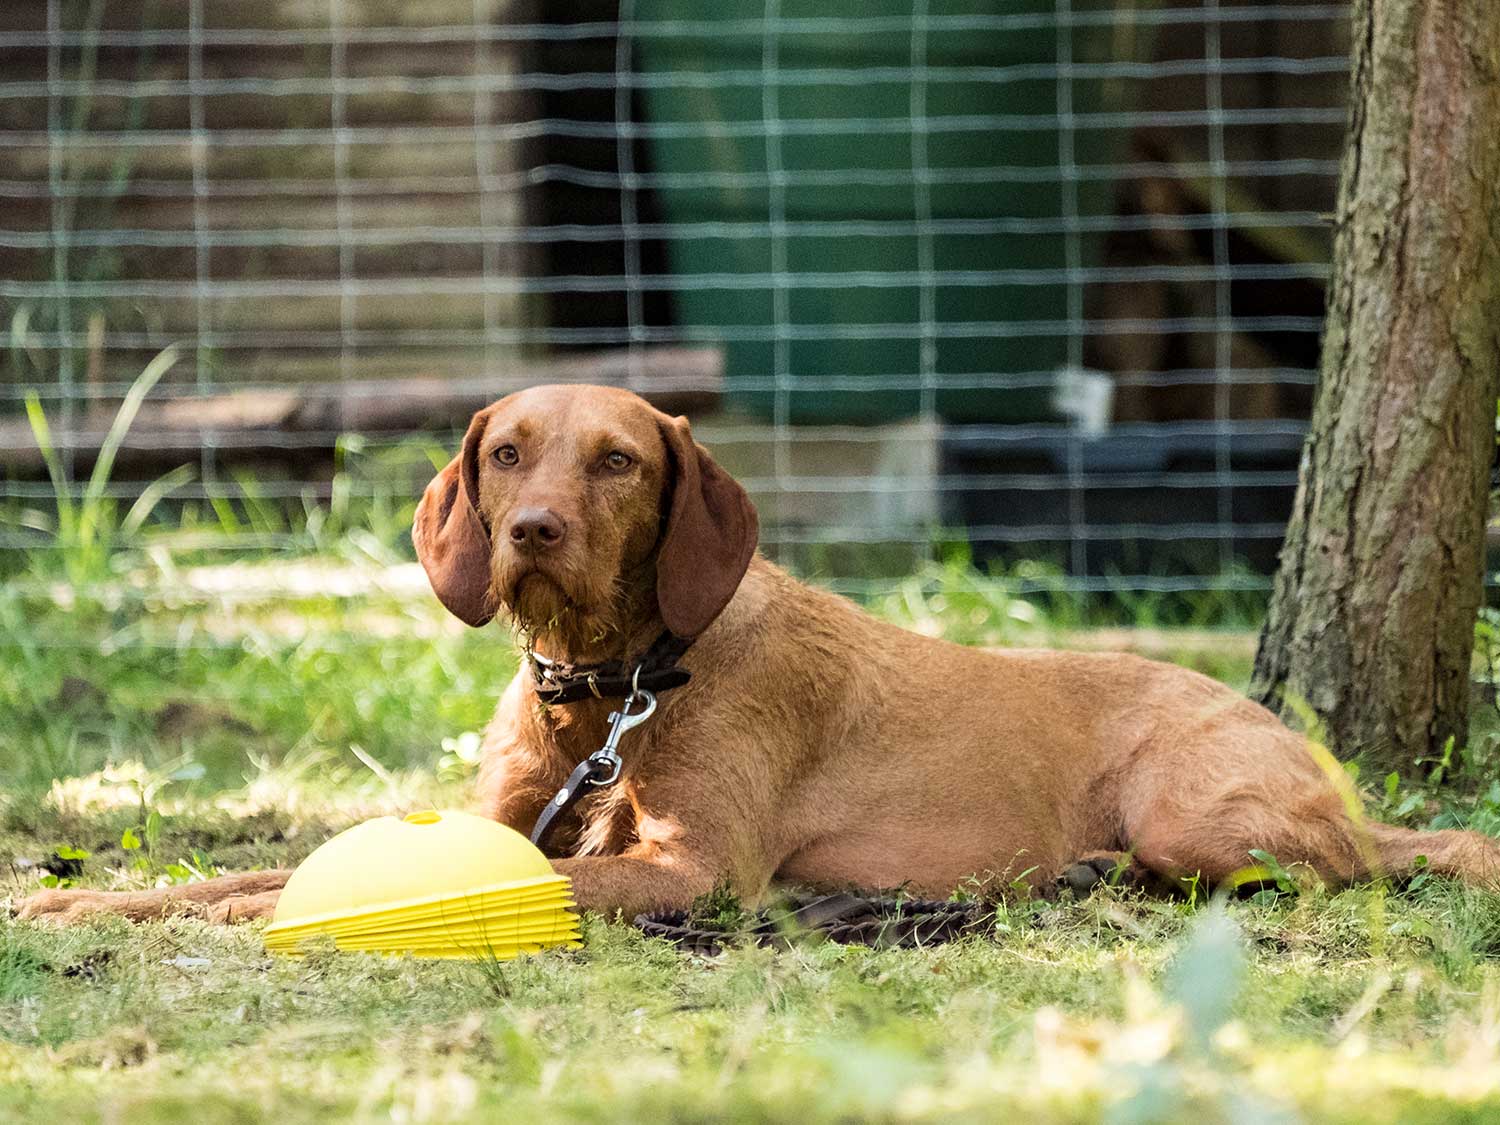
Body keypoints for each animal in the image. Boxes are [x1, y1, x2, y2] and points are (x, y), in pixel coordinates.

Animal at [17, 384, 1500, 930]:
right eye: (507, 452)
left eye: (618, 459)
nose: (536, 529)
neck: (608, 686)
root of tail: (1314, 756)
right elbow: (248, 869)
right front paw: (73, 906)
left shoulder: (688, 870)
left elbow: (295, 893)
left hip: (1195, 809)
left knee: (1343, 866)